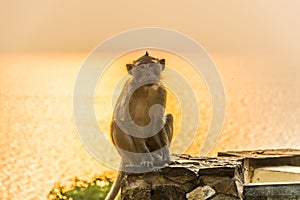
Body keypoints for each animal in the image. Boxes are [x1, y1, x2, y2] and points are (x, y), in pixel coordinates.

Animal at [105, 52, 171, 200]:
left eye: (151, 65)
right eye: (141, 67)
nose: (147, 73)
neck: (146, 88)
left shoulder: (161, 92)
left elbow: (158, 121)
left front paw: (166, 155)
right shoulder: (130, 91)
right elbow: (128, 121)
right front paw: (146, 158)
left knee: (169, 117)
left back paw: (157, 156)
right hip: (127, 152)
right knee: (118, 124)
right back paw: (140, 160)